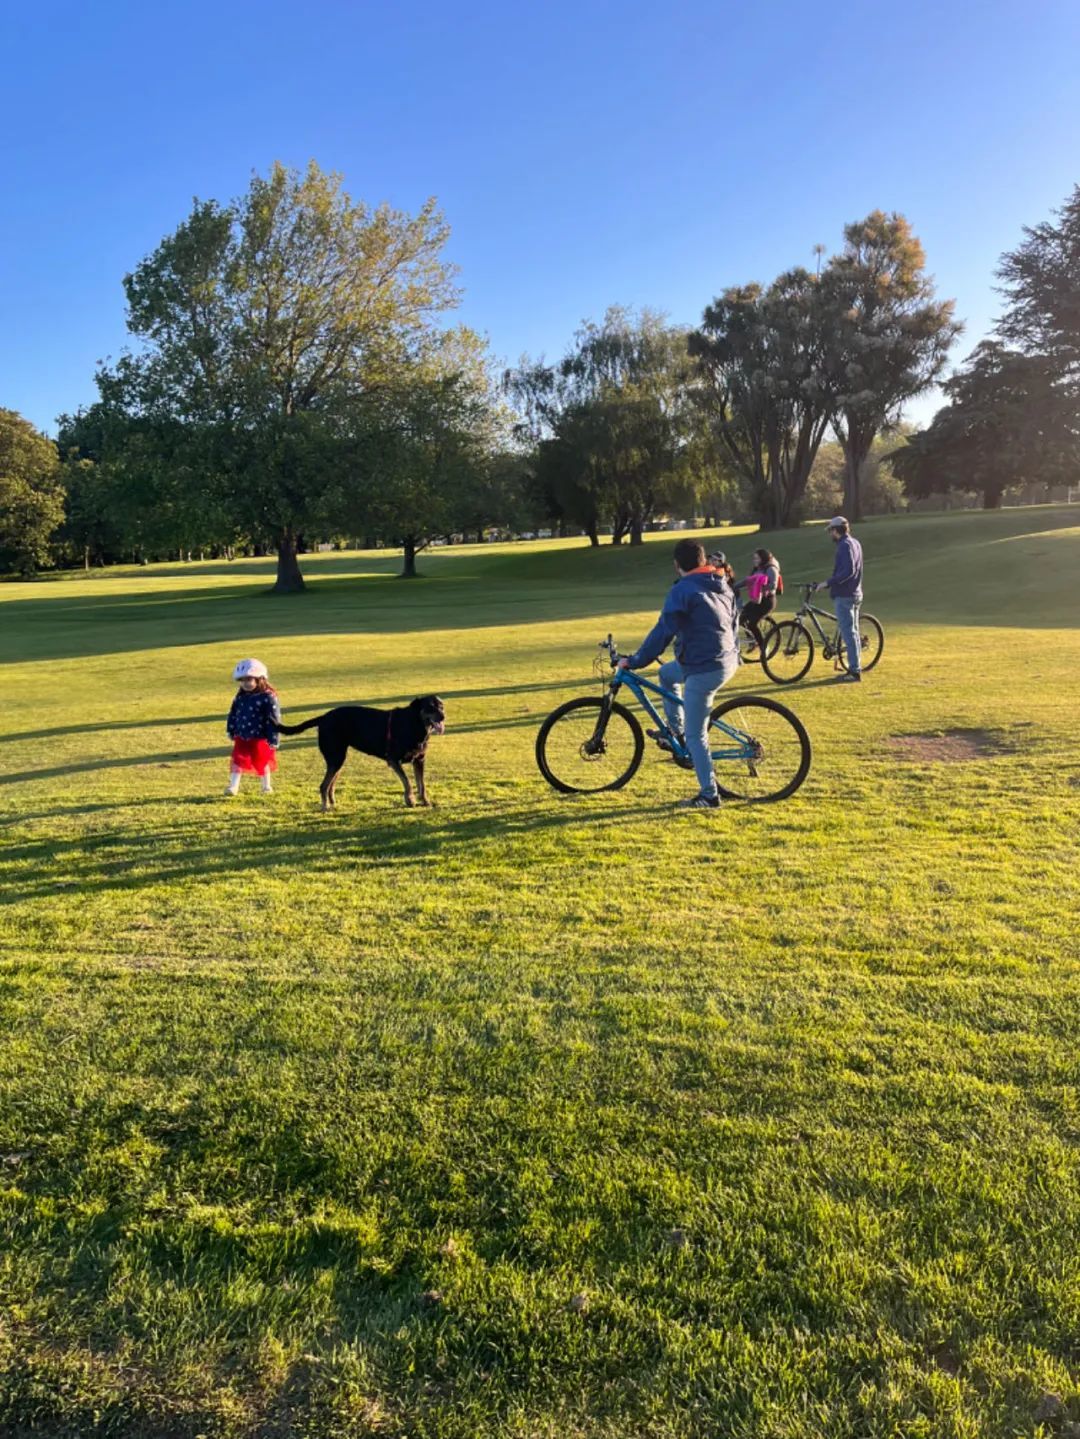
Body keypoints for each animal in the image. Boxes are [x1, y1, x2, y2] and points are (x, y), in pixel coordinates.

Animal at [280, 696, 448, 811]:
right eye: (430, 707)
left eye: (441, 706)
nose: (443, 716)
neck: (415, 723)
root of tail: (323, 718)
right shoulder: (393, 760)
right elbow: (407, 781)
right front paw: (410, 800)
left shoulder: (419, 760)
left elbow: (421, 784)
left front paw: (425, 801)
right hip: (336, 757)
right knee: (323, 785)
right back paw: (325, 807)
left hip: (338, 759)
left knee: (331, 785)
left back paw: (333, 803)